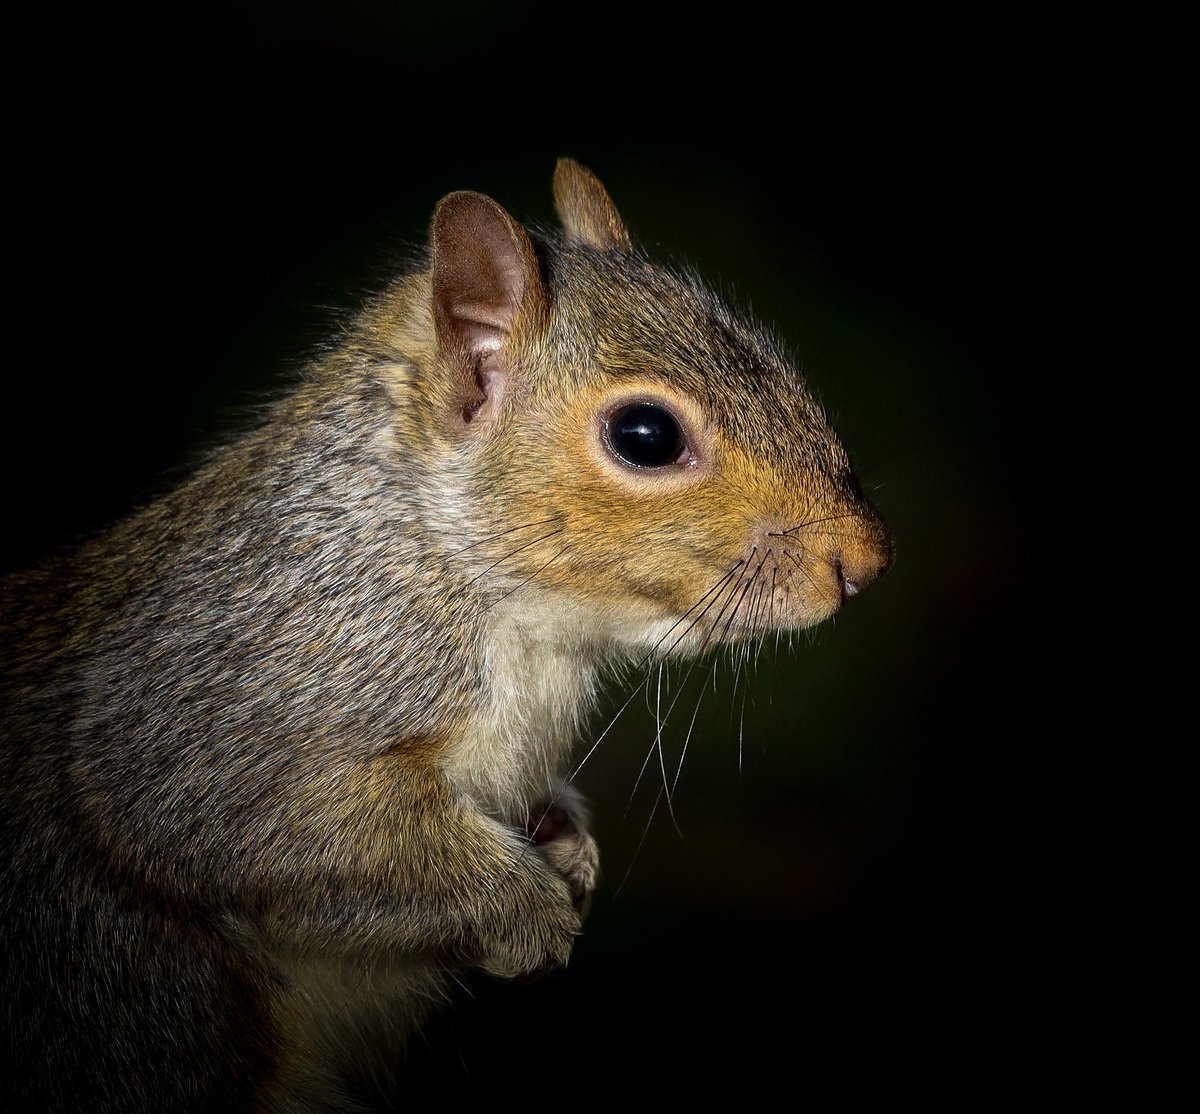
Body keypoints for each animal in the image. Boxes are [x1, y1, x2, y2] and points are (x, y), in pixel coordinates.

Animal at [0, 159, 891, 1111]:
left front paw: (569, 845)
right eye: (645, 436)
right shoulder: (236, 711)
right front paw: (518, 908)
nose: (867, 559)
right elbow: (268, 833)